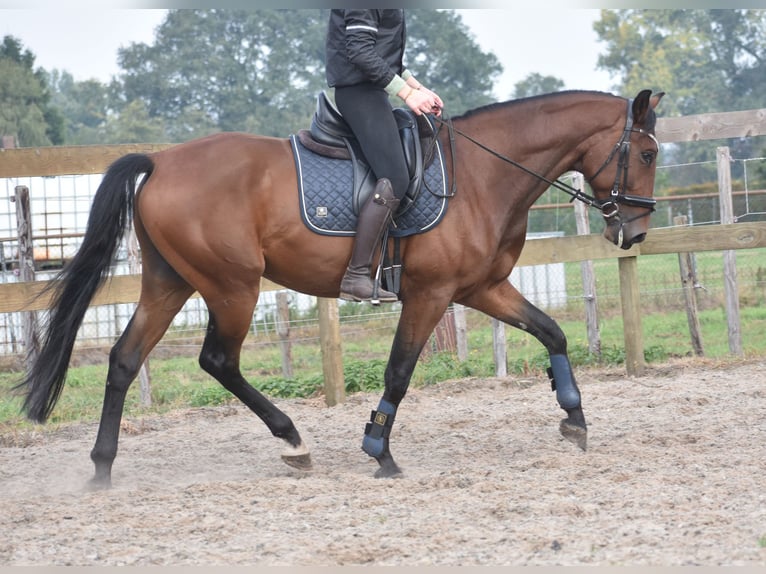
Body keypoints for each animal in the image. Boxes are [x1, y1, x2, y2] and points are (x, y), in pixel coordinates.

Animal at [18, 89, 664, 488]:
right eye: (648, 152)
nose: (634, 232)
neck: (484, 176)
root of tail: (162, 162)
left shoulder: (482, 288)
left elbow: (552, 331)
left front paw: (575, 419)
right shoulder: (431, 294)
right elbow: (399, 372)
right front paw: (380, 451)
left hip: (169, 283)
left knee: (125, 360)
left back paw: (102, 468)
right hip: (232, 287)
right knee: (217, 360)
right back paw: (293, 442)